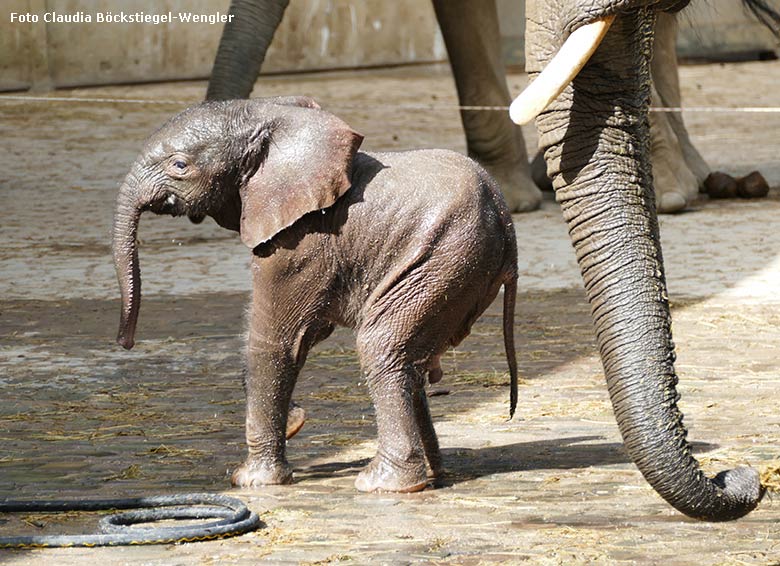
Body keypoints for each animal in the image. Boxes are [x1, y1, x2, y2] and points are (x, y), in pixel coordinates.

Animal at [114, 96, 516, 492]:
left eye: (179, 165)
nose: (125, 341)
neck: (272, 115)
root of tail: (504, 217)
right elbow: (306, 333)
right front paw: (293, 423)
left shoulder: (301, 241)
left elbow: (275, 339)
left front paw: (252, 480)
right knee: (411, 359)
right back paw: (432, 475)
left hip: (443, 260)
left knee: (380, 347)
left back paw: (383, 484)